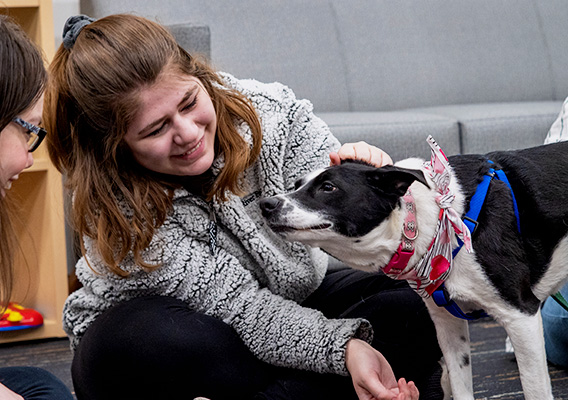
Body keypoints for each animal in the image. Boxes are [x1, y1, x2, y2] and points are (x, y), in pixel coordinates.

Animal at [260, 138, 568, 400]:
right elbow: (460, 385)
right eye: (297, 184)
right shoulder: (447, 323)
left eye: (328, 187)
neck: (436, 220)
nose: (266, 204)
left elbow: (535, 390)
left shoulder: (520, 316)